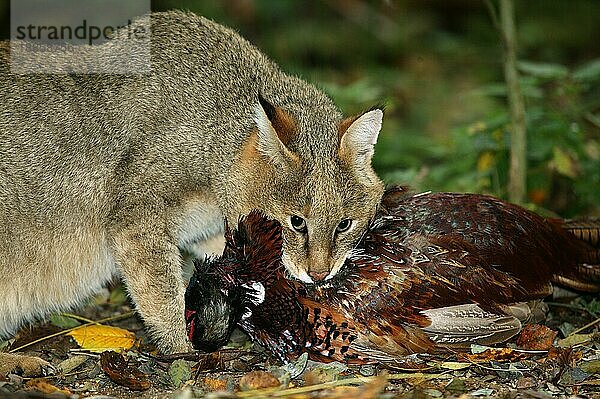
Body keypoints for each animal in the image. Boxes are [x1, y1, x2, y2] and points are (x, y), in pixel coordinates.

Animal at [0, 10, 384, 376]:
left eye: (345, 224)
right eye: (296, 222)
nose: (320, 274)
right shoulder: (136, 221)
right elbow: (162, 293)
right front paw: (181, 349)